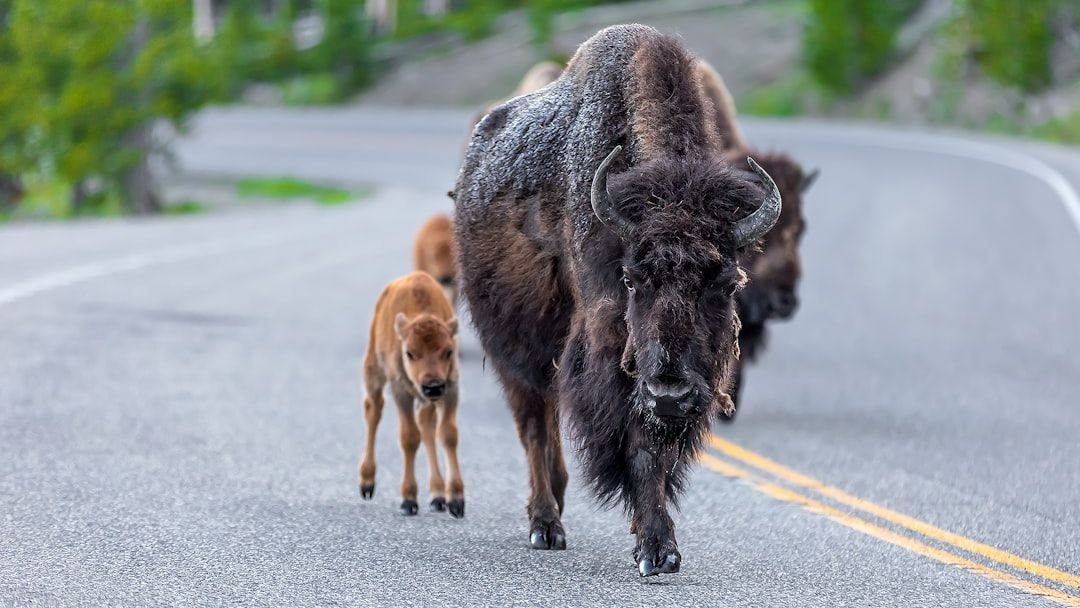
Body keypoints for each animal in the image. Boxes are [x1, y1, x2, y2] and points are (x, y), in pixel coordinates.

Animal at [454, 25, 782, 575]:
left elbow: (657, 454)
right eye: (632, 279)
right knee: (533, 424)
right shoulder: (609, 358)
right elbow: (638, 447)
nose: (671, 394)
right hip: (511, 350)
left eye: (726, 282)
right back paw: (546, 526)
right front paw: (656, 551)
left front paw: (659, 547)